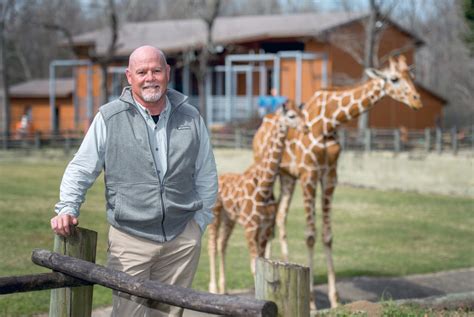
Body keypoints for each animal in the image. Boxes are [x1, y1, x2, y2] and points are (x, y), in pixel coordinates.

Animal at [208, 101, 308, 294]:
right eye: (291, 115)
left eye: (302, 113)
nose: (306, 128)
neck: (264, 187)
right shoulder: (250, 228)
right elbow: (253, 267)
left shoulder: (265, 228)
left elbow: (260, 265)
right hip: (214, 215)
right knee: (212, 246)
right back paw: (213, 288)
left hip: (229, 218)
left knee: (222, 245)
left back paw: (224, 288)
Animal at [252, 55, 422, 308]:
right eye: (394, 79)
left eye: (411, 76)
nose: (417, 101)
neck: (329, 122)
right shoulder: (309, 174)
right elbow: (310, 236)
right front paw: (312, 301)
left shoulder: (330, 175)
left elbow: (327, 236)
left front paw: (335, 299)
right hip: (267, 169)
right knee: (270, 215)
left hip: (287, 177)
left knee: (279, 216)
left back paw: (279, 260)